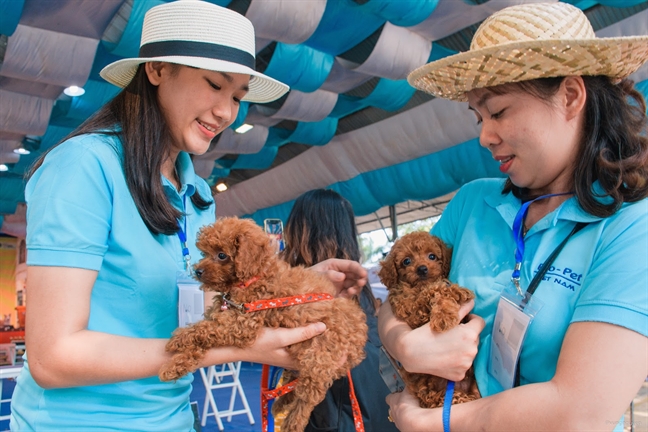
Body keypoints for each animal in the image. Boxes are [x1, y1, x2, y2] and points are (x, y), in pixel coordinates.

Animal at [159, 218, 368, 432]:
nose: (198, 271)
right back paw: (279, 404)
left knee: (309, 394)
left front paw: (179, 339)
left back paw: (292, 421)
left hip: (321, 353)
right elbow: (204, 339)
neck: (253, 277)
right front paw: (175, 366)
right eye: (204, 253)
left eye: (221, 255)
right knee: (294, 383)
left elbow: (204, 330)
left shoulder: (242, 323)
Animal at [378, 231, 478, 406]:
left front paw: (448, 306)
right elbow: (433, 291)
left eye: (432, 256)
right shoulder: (410, 309)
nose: (422, 269)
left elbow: (438, 289)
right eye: (406, 261)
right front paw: (447, 309)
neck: (419, 286)